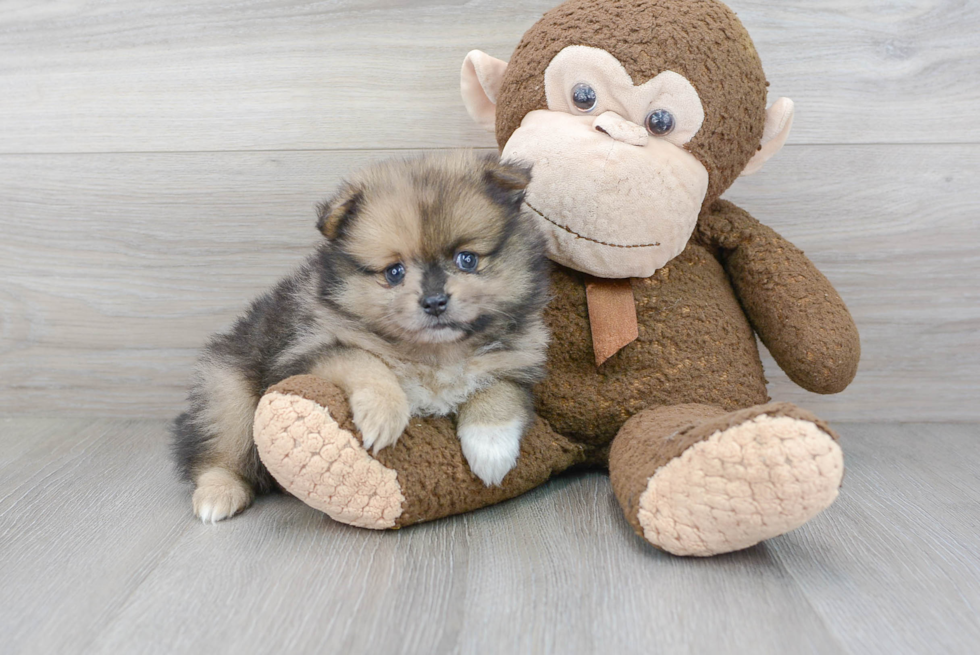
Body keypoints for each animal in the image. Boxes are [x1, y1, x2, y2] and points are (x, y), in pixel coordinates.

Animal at [174, 152, 552, 524]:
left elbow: (499, 391)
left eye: (468, 259)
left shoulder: (516, 362)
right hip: (228, 394)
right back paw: (218, 494)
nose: (434, 301)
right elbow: (364, 360)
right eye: (394, 272)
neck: (434, 354)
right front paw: (384, 415)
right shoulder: (308, 348)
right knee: (216, 454)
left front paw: (491, 447)